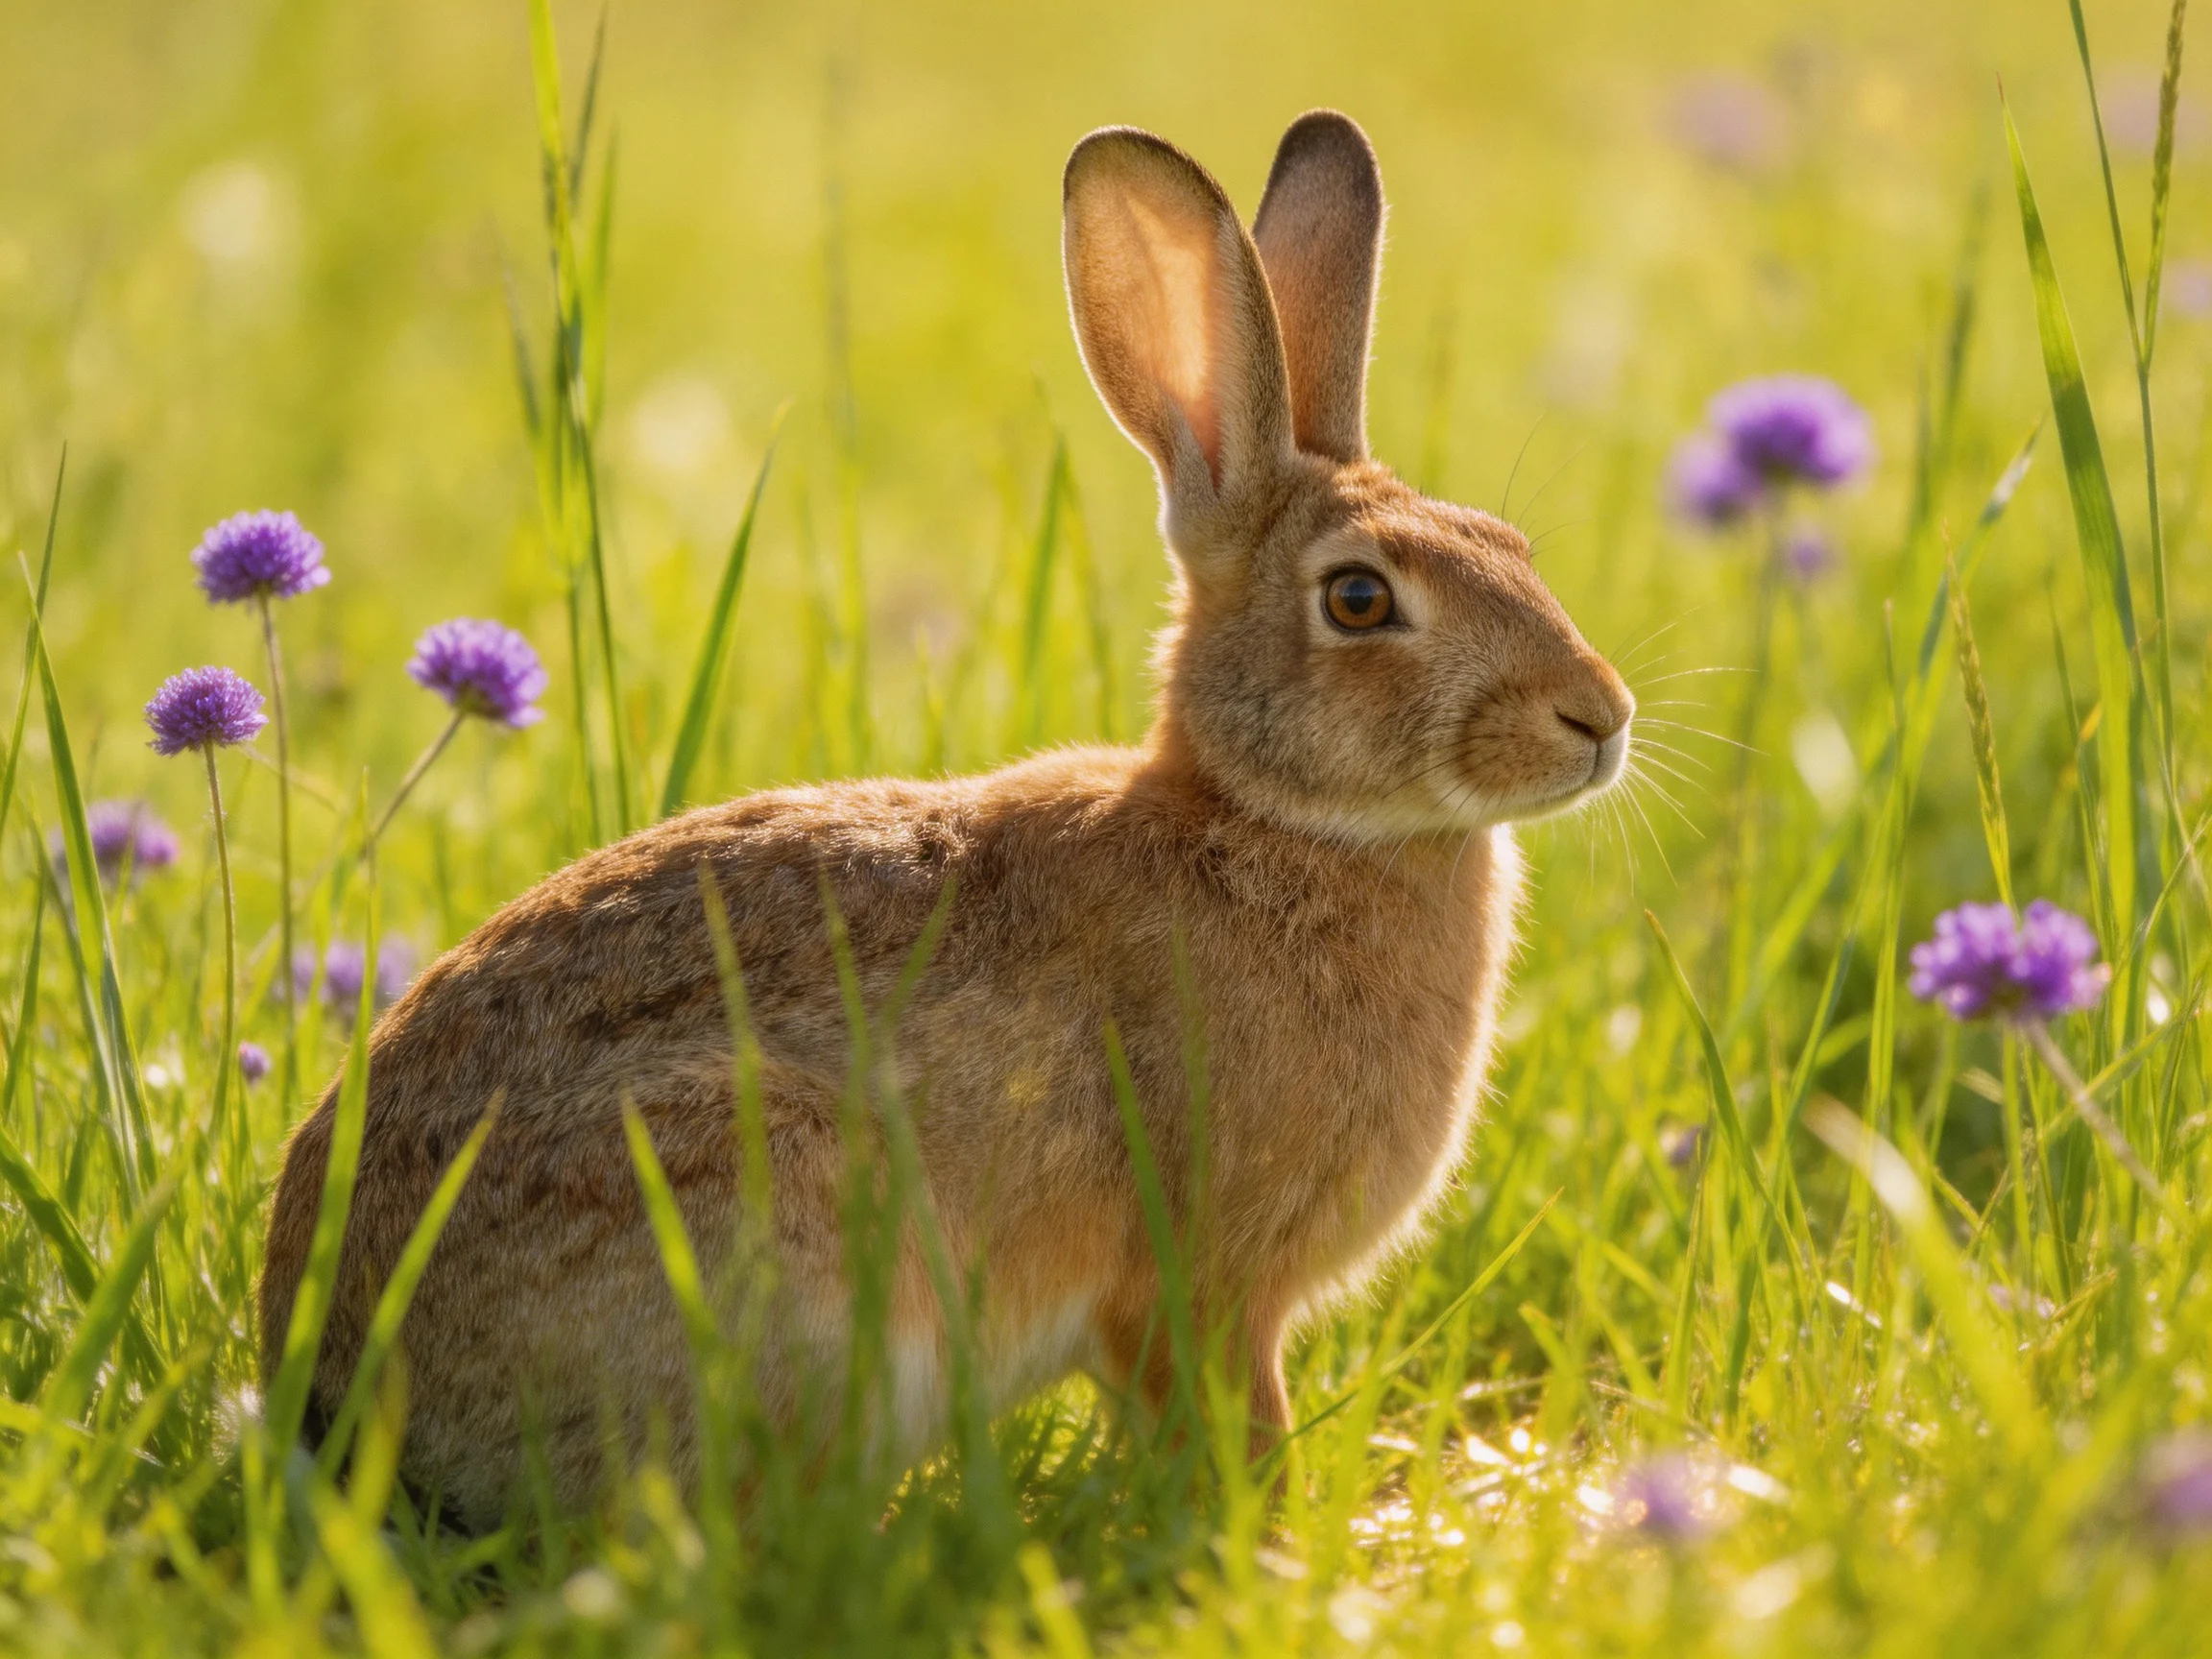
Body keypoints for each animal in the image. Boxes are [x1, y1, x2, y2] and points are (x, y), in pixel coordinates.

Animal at [259, 109, 1634, 1529]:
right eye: (1360, 599)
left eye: (1510, 543)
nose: (1600, 717)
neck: (1273, 824)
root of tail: (333, 1389)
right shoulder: (1202, 1279)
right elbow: (1225, 1416)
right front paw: (1277, 1533)